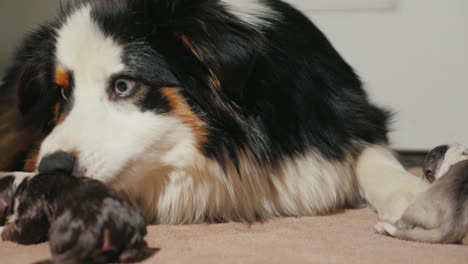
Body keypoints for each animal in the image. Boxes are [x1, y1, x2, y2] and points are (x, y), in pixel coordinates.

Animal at [0, 0, 428, 224]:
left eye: (123, 85)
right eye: (63, 91)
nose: (53, 166)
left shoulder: (350, 116)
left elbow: (372, 156)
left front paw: (411, 193)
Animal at [0, 153, 157, 264]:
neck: (19, 184)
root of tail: (93, 231)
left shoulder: (32, 208)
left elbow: (22, 230)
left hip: (58, 235)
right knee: (127, 254)